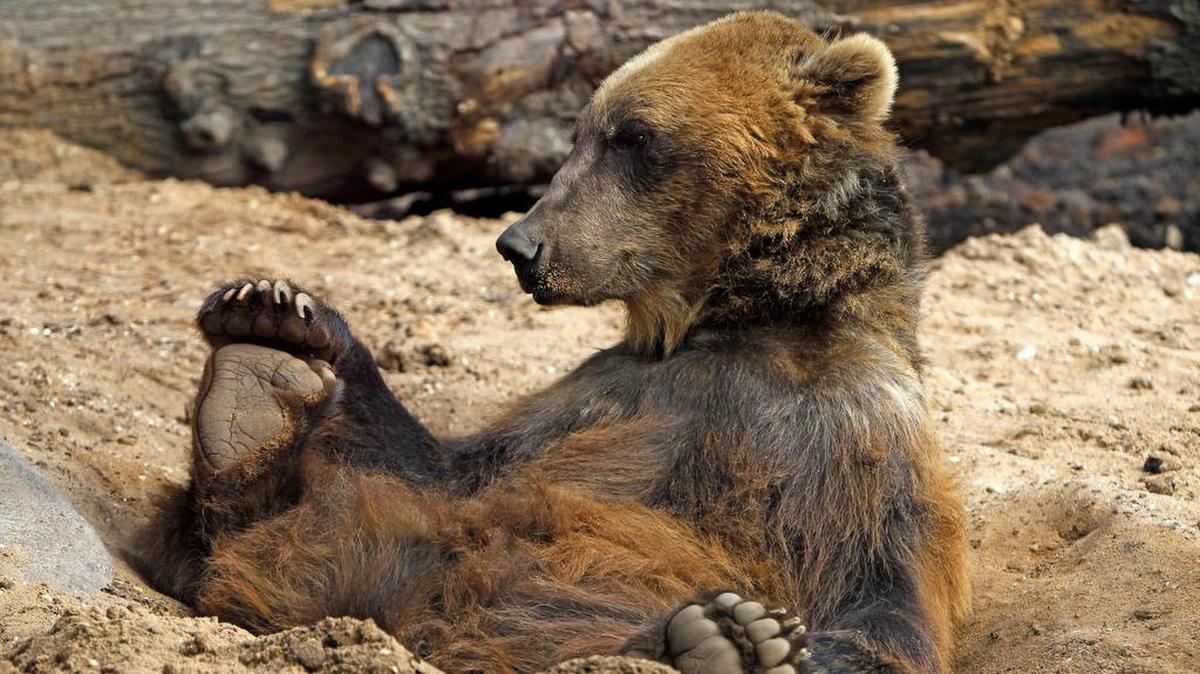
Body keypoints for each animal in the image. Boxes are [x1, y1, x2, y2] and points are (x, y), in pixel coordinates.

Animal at [136, 11, 969, 674]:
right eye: (579, 133)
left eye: (634, 135)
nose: (520, 244)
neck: (753, 316)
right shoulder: (612, 394)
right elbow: (452, 465)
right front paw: (284, 310)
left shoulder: (850, 427)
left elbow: (879, 610)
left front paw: (762, 639)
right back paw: (251, 386)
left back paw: (720, 640)